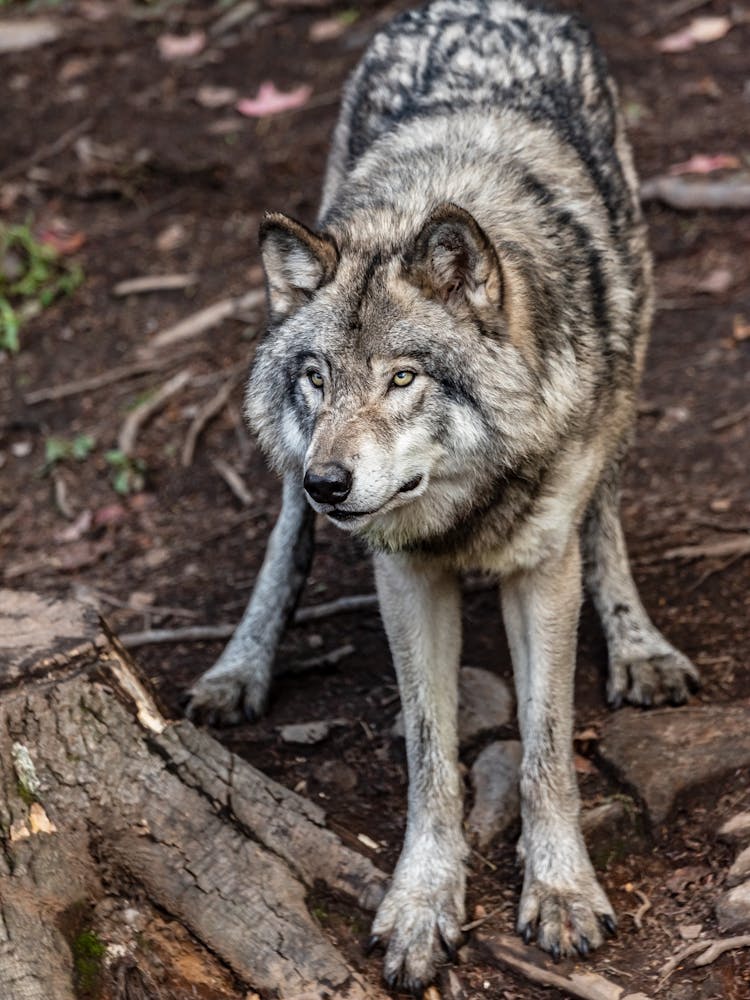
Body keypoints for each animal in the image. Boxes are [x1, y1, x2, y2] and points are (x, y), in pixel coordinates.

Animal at [187, 3, 700, 992]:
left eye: (403, 378)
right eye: (317, 377)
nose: (332, 481)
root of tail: (480, 7)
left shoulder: (542, 571)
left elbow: (545, 747)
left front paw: (561, 892)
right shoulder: (403, 575)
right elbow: (432, 757)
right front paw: (423, 904)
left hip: (628, 375)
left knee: (607, 518)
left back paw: (641, 647)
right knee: (284, 539)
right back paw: (241, 666)